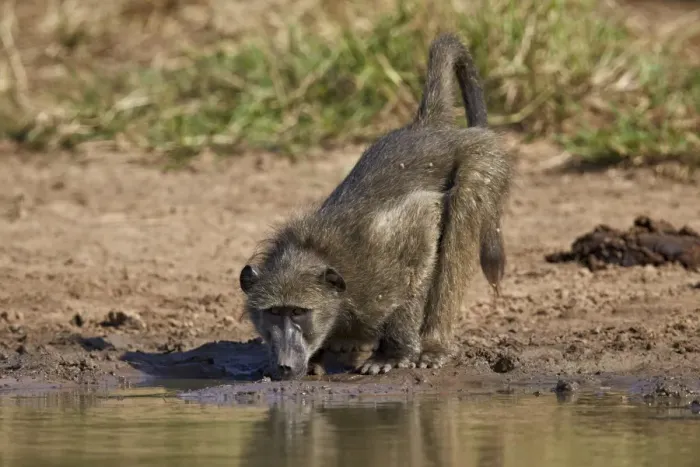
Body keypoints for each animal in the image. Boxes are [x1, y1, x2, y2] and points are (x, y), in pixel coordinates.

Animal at [239, 32, 514, 380]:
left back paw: (433, 345)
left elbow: (422, 238)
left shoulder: (389, 246)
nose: (285, 365)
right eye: (275, 312)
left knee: (460, 219)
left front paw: (393, 354)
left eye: (299, 312)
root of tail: (429, 127)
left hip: (481, 158)